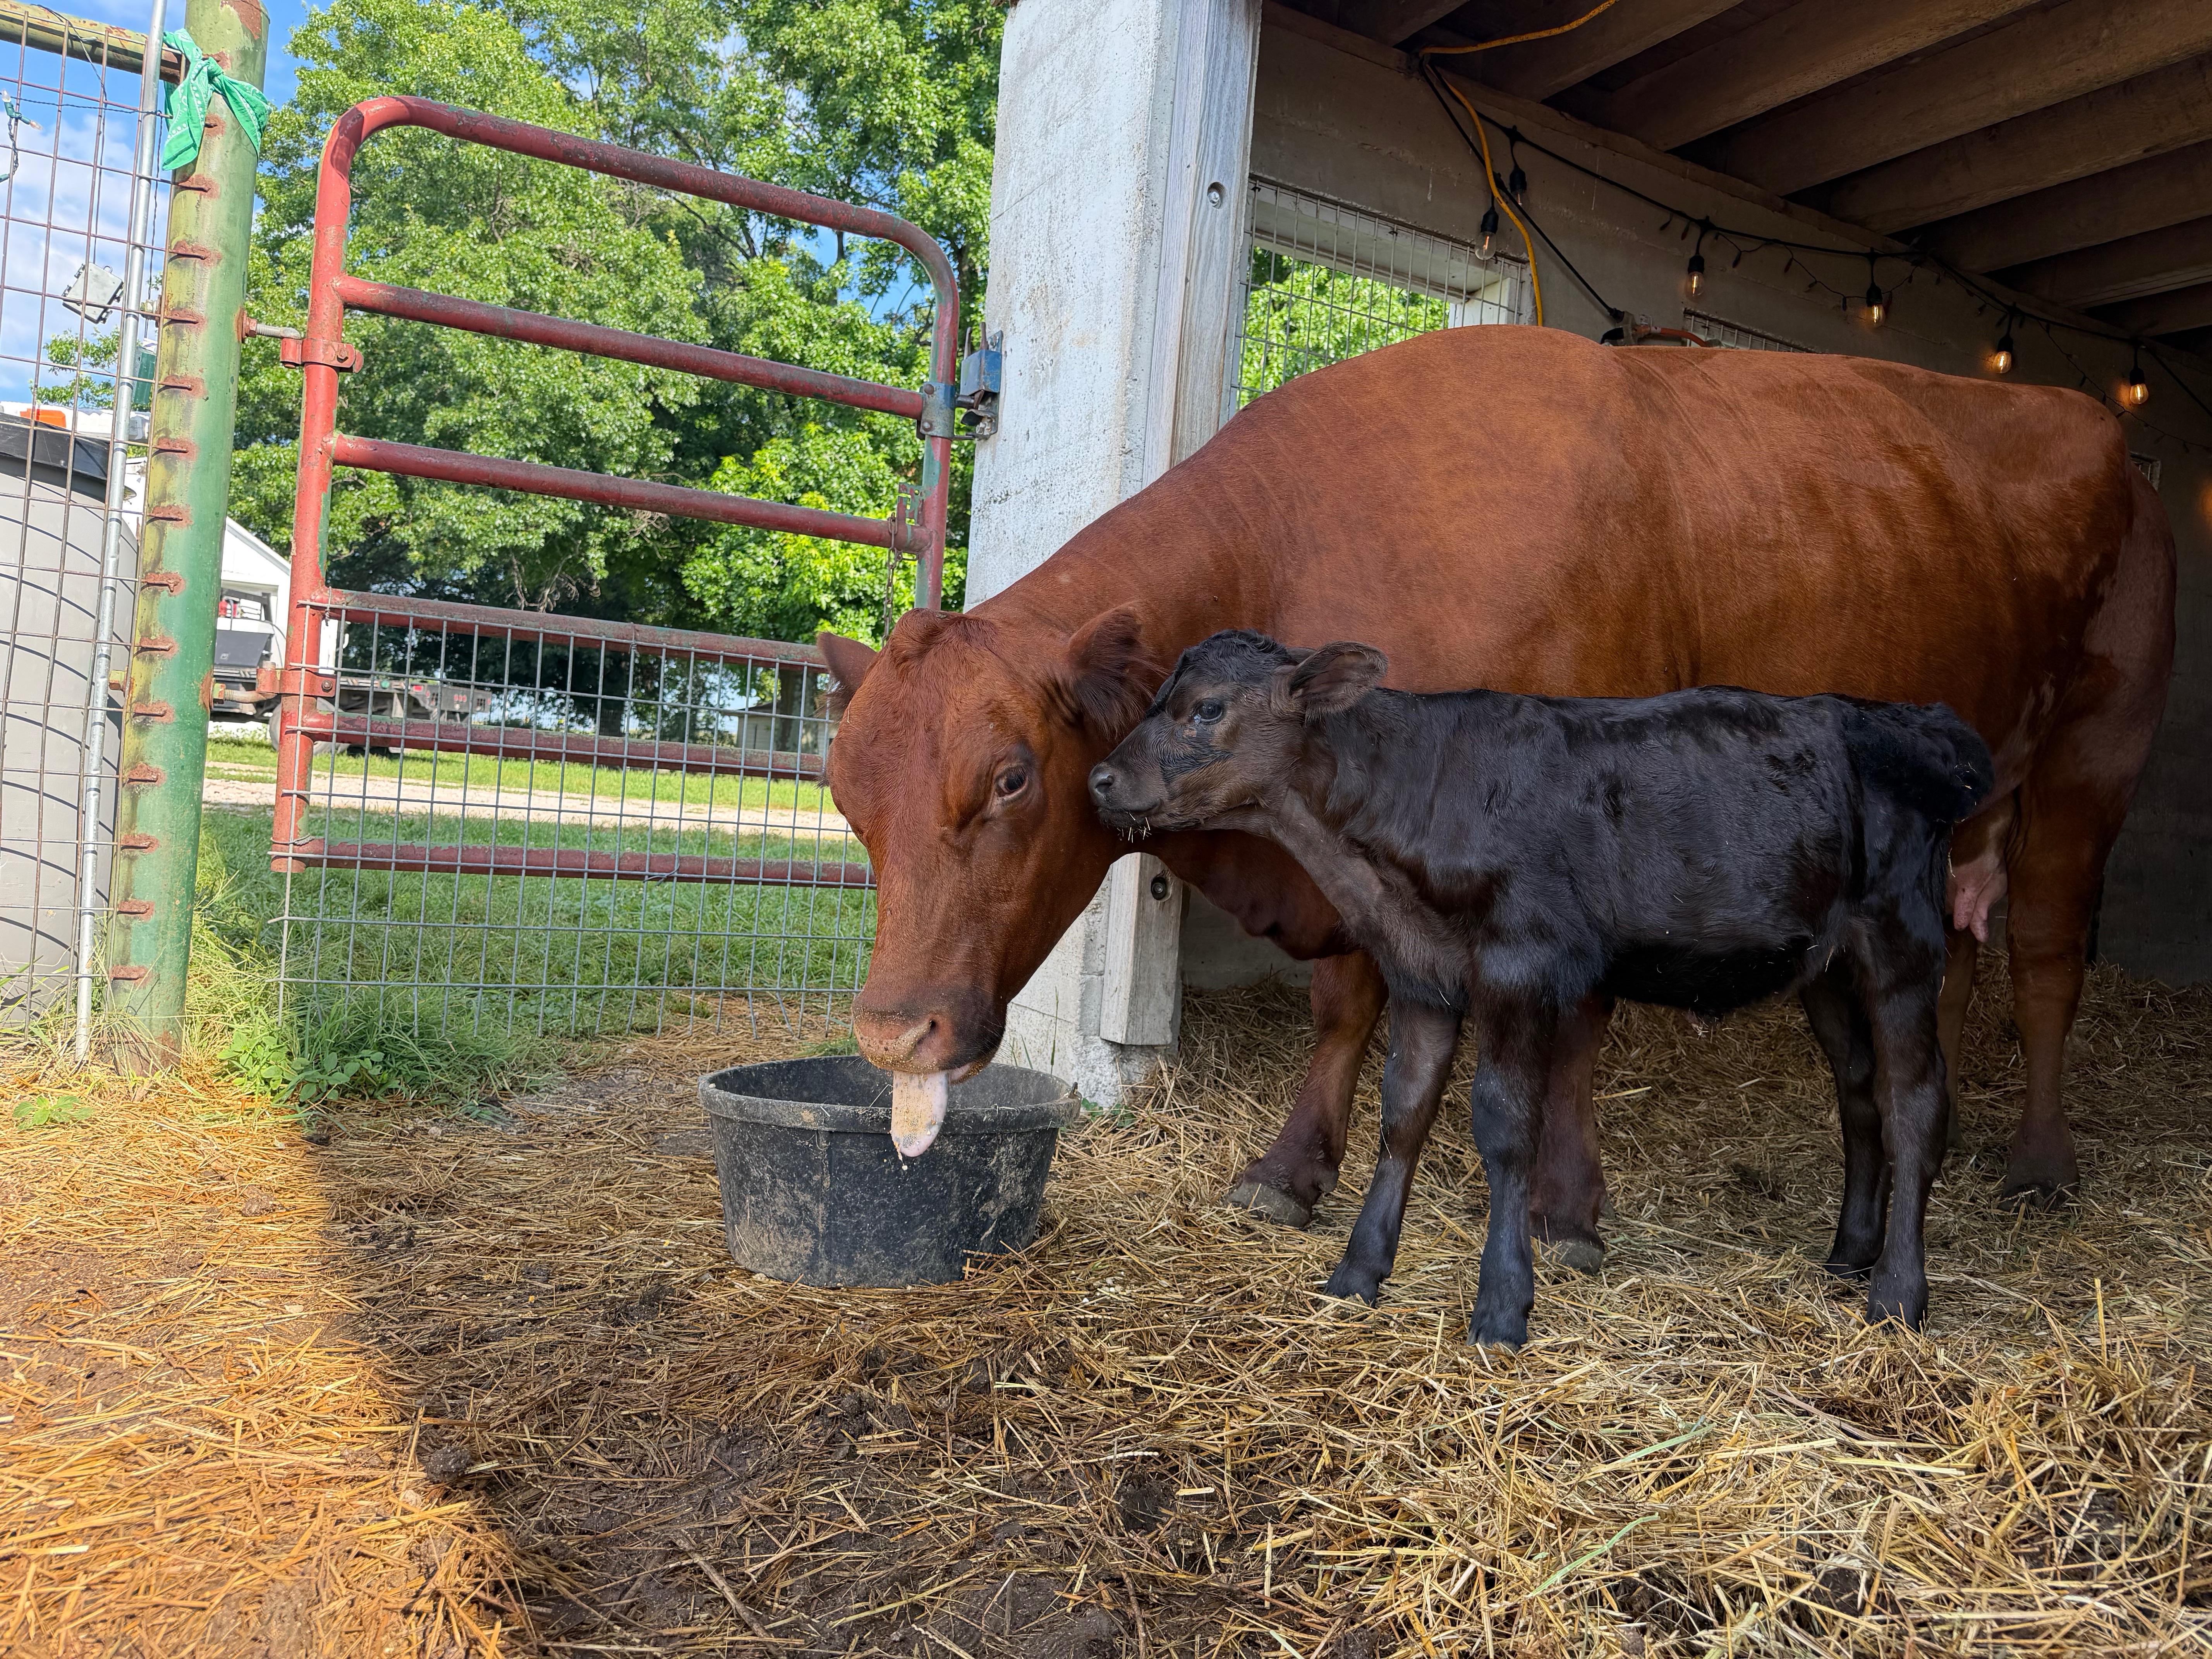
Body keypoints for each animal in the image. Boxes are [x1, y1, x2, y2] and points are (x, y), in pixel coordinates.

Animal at [817, 327, 2174, 1253]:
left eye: (1008, 778)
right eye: (844, 797)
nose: (891, 1033)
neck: (1313, 538)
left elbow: (1575, 1022)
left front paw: (1566, 1208)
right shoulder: (1342, 842)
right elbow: (1345, 1005)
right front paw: (1291, 1168)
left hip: (2093, 754)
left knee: (2045, 953)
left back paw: (2038, 1159)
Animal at [1089, 630, 1996, 1343]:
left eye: (1206, 709)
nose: (1099, 779)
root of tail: (1912, 719)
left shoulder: (1517, 965)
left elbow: (1505, 1125)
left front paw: (1501, 1306)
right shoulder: (1422, 969)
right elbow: (1404, 1112)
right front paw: (1357, 1273)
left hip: (1904, 942)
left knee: (1916, 1102)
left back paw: (1898, 1296)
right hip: (1828, 968)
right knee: (1860, 1094)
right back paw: (1848, 1255)